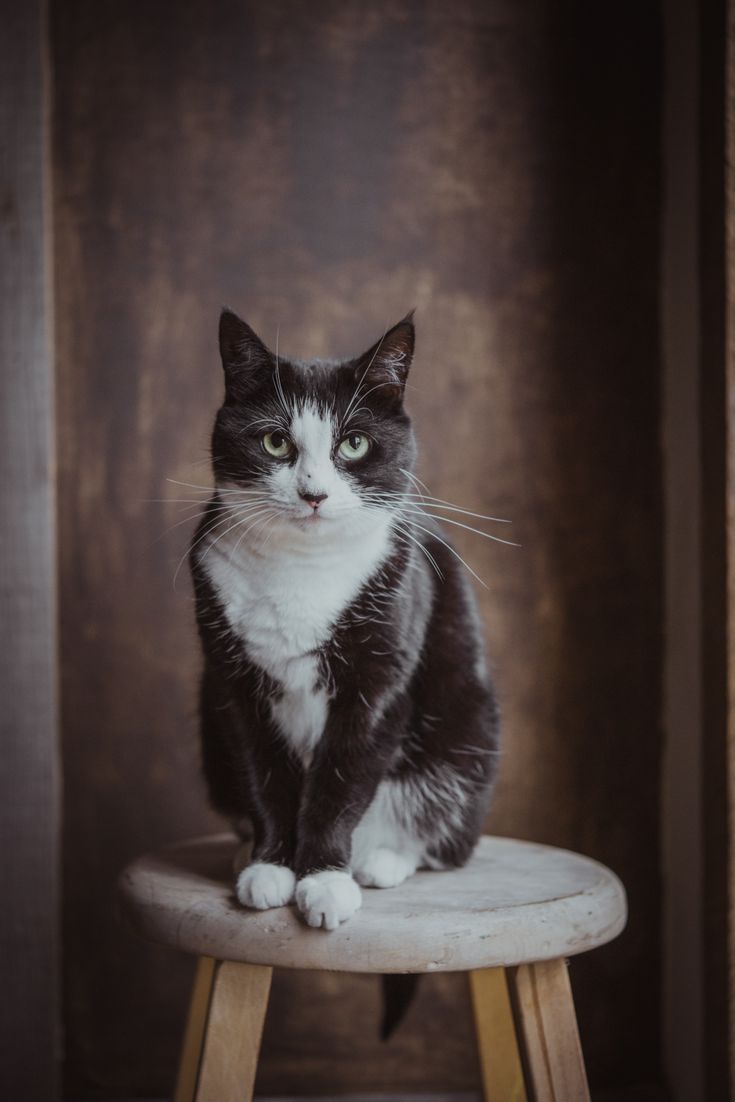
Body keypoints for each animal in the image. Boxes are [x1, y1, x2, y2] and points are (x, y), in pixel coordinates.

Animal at [189, 310, 500, 938]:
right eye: (275, 441)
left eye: (353, 443)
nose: (314, 493)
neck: (301, 571)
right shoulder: (233, 683)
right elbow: (264, 774)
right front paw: (271, 866)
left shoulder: (378, 679)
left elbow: (342, 779)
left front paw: (324, 880)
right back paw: (244, 852)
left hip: (467, 729)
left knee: (442, 834)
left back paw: (380, 861)